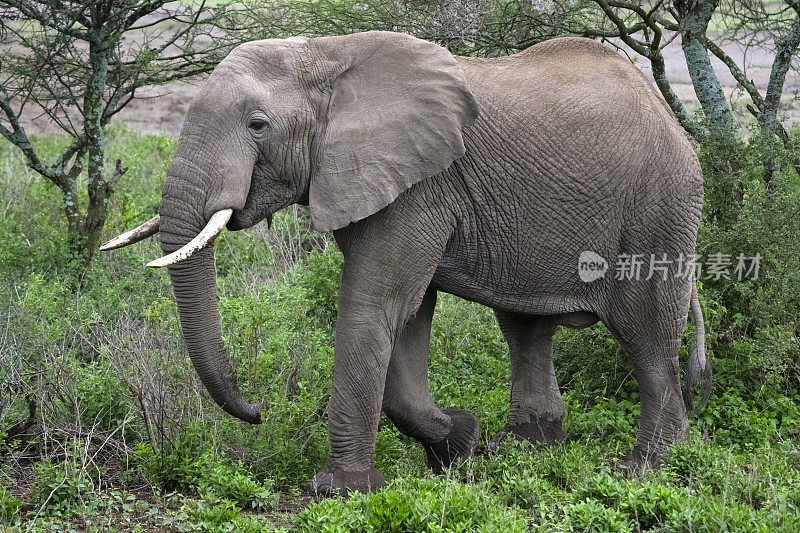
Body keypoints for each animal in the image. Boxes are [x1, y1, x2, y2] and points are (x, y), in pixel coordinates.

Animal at [101, 31, 712, 498]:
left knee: (648, 338)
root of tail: (667, 114)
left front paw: (341, 490)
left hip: (660, 208)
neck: (326, 56)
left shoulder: (421, 186)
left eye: (257, 124)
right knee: (525, 327)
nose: (259, 409)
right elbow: (410, 314)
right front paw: (462, 444)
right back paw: (521, 449)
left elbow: (377, 305)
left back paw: (647, 469)